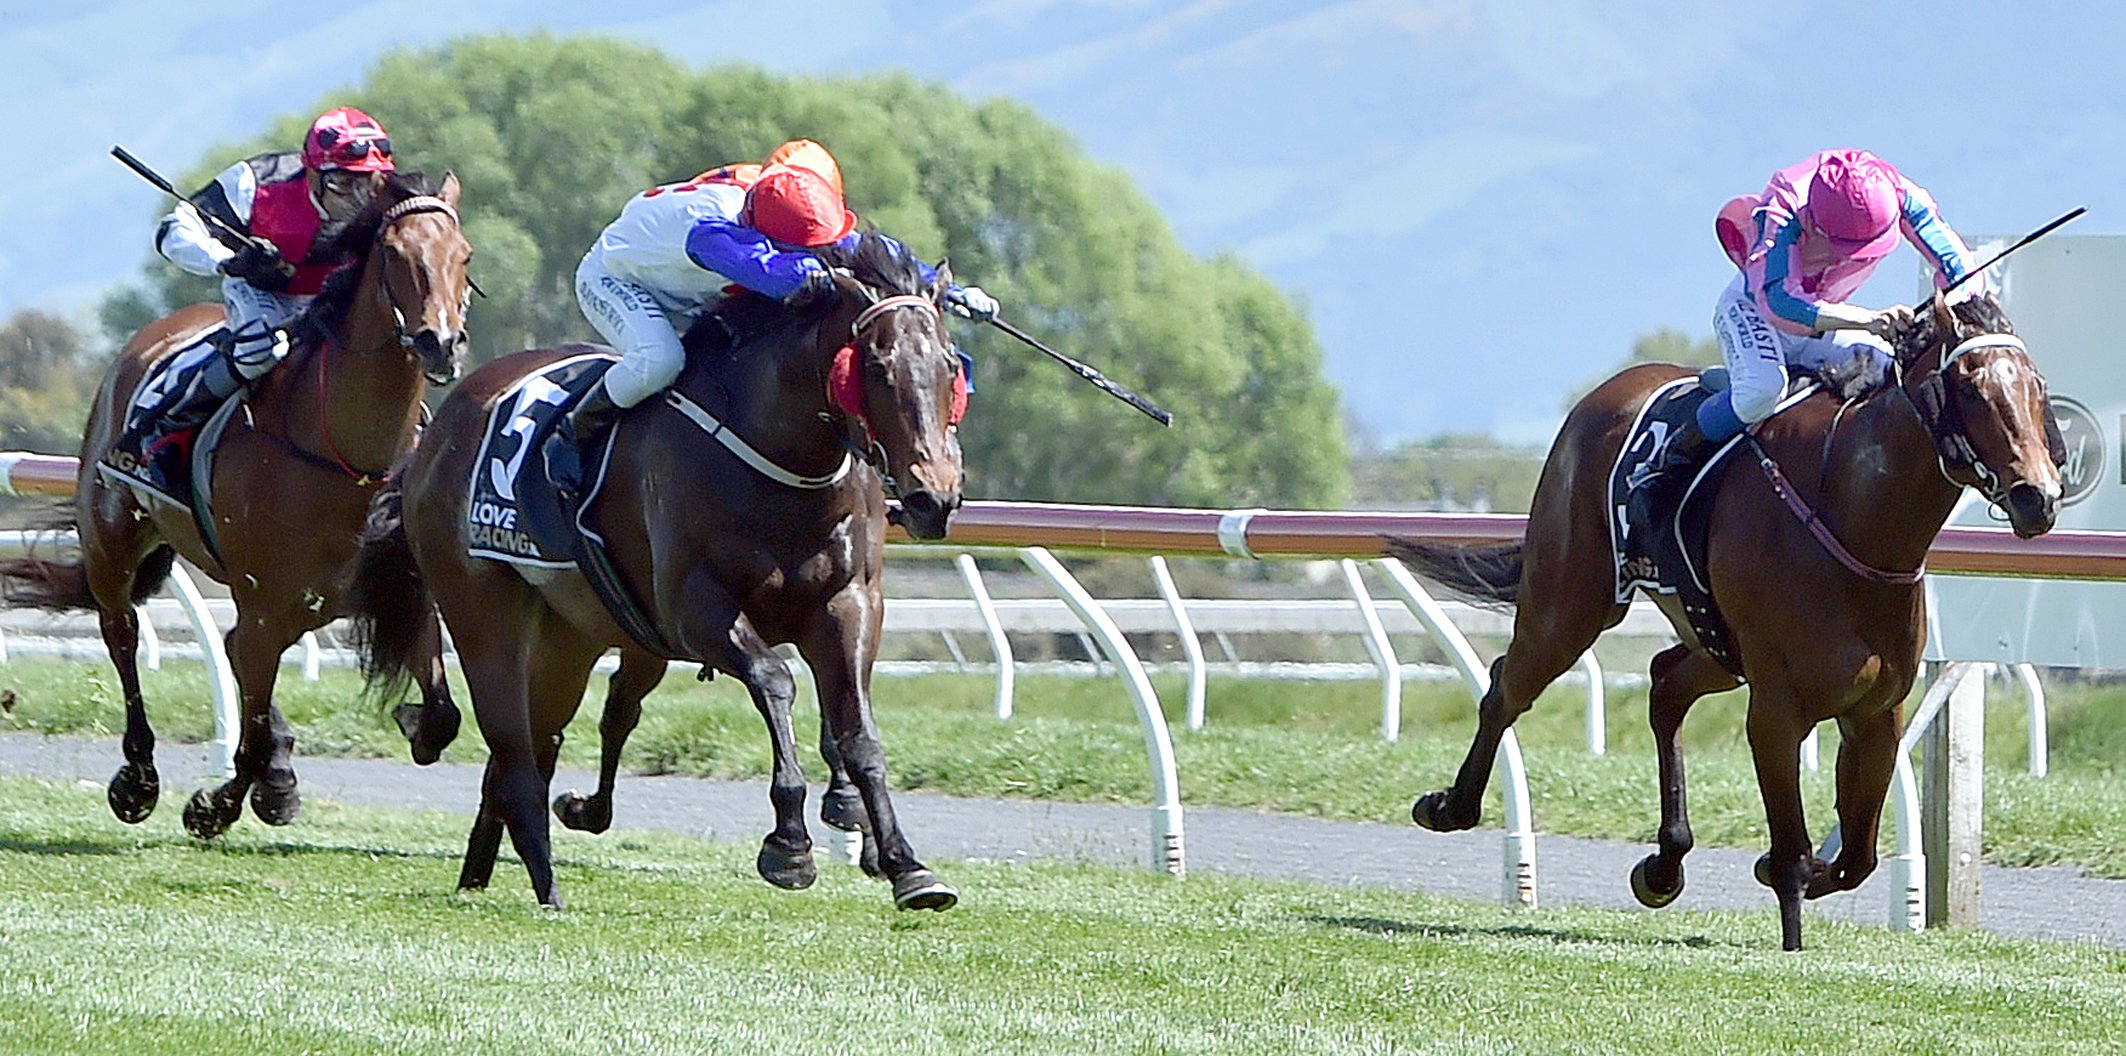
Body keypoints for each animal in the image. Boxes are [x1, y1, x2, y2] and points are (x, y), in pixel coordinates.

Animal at [1, 168, 474, 837]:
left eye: (464, 255)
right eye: (391, 253)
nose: (439, 343)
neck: (346, 457)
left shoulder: (399, 593)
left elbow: (440, 717)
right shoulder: (266, 608)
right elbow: (244, 741)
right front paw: (212, 807)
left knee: (226, 653)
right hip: (111, 544)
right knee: (123, 637)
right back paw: (138, 778)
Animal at [346, 234, 965, 909]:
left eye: (949, 367)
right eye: (876, 368)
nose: (934, 497)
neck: (780, 457)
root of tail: (436, 435)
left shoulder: (849, 604)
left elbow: (857, 735)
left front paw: (906, 865)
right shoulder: (695, 610)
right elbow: (775, 681)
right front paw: (790, 845)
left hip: (570, 635)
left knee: (539, 743)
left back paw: (484, 872)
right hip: (483, 616)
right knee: (515, 753)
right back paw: (548, 887)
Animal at [1386, 293, 2066, 951]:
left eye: (2036, 387)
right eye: (1972, 388)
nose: (2038, 496)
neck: (1853, 519)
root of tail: (1609, 392)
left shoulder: (1876, 711)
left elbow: (1857, 857)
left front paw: (1784, 872)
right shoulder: (1777, 708)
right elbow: (1795, 848)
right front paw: (1790, 926)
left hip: (1713, 642)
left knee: (1664, 682)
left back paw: (1663, 865)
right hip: (1570, 604)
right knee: (1507, 686)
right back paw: (1451, 805)